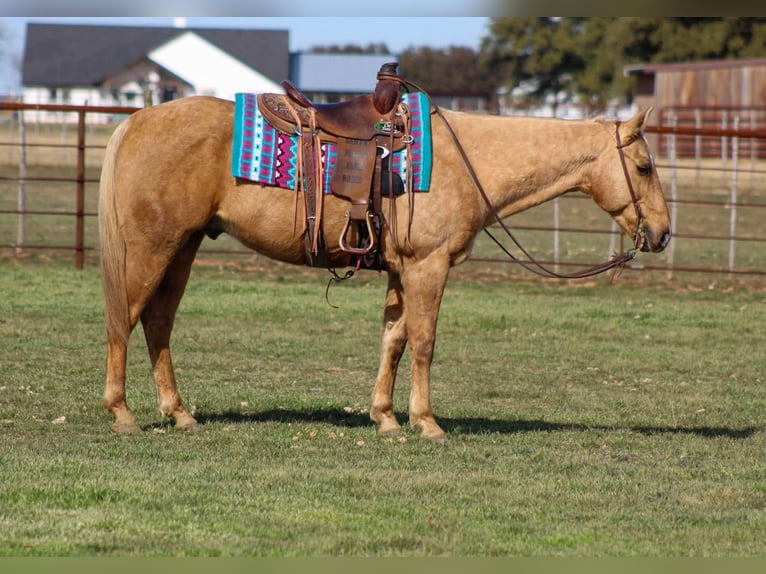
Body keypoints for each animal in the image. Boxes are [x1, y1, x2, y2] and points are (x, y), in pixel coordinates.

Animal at [98, 95, 671, 440]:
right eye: (644, 167)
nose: (663, 233)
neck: (465, 160)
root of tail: (138, 120)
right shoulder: (428, 267)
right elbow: (423, 342)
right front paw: (427, 422)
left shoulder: (401, 271)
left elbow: (393, 339)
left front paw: (387, 418)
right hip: (153, 247)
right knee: (124, 320)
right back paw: (122, 414)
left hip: (184, 247)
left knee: (158, 323)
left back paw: (179, 413)